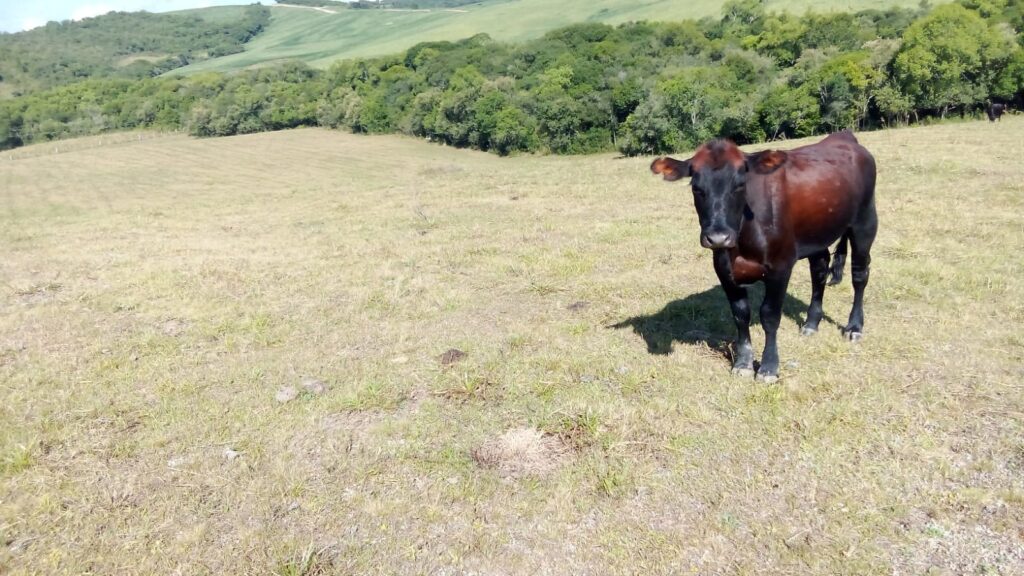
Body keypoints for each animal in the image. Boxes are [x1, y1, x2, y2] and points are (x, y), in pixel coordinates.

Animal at [651, 130, 876, 381]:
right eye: (696, 188)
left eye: (740, 184)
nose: (718, 237)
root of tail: (844, 137)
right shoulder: (723, 268)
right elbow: (740, 315)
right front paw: (743, 363)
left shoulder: (780, 266)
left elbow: (769, 315)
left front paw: (769, 366)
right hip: (817, 233)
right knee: (819, 271)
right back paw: (811, 323)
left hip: (865, 223)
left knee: (859, 275)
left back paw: (854, 327)